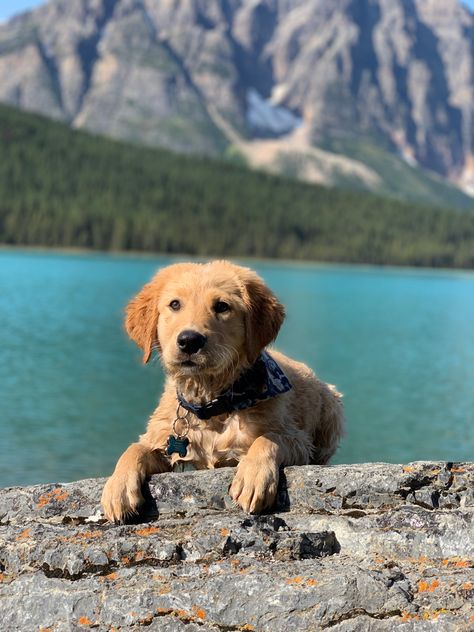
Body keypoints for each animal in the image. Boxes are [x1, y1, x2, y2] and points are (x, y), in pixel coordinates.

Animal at [102, 262, 342, 524]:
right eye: (175, 304)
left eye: (222, 306)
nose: (189, 340)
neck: (212, 405)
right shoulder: (164, 440)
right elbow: (135, 448)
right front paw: (118, 487)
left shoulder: (299, 440)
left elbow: (268, 439)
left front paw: (253, 476)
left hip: (332, 408)